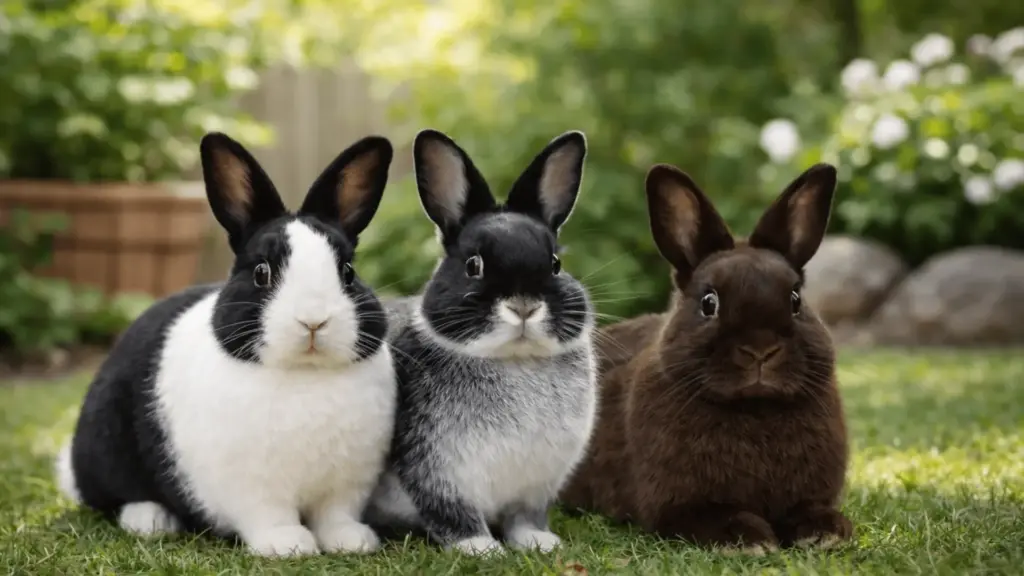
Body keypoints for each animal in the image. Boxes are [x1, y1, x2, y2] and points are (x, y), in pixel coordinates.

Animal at [54, 131, 398, 558]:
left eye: (348, 272)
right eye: (262, 273)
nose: (314, 320)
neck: (305, 373)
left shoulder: (348, 483)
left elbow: (336, 514)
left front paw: (351, 542)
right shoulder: (254, 487)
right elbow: (270, 515)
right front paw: (289, 546)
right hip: (106, 448)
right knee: (115, 496)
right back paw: (150, 519)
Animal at [362, 129, 597, 556]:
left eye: (555, 264)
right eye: (474, 266)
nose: (523, 306)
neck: (513, 360)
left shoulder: (535, 486)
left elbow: (524, 518)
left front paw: (540, 542)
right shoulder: (437, 473)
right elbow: (453, 514)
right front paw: (480, 548)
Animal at [559, 162, 852, 555]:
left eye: (795, 300)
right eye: (708, 303)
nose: (760, 351)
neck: (755, 409)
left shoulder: (809, 496)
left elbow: (810, 511)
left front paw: (826, 533)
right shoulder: (680, 507)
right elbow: (715, 518)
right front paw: (751, 540)